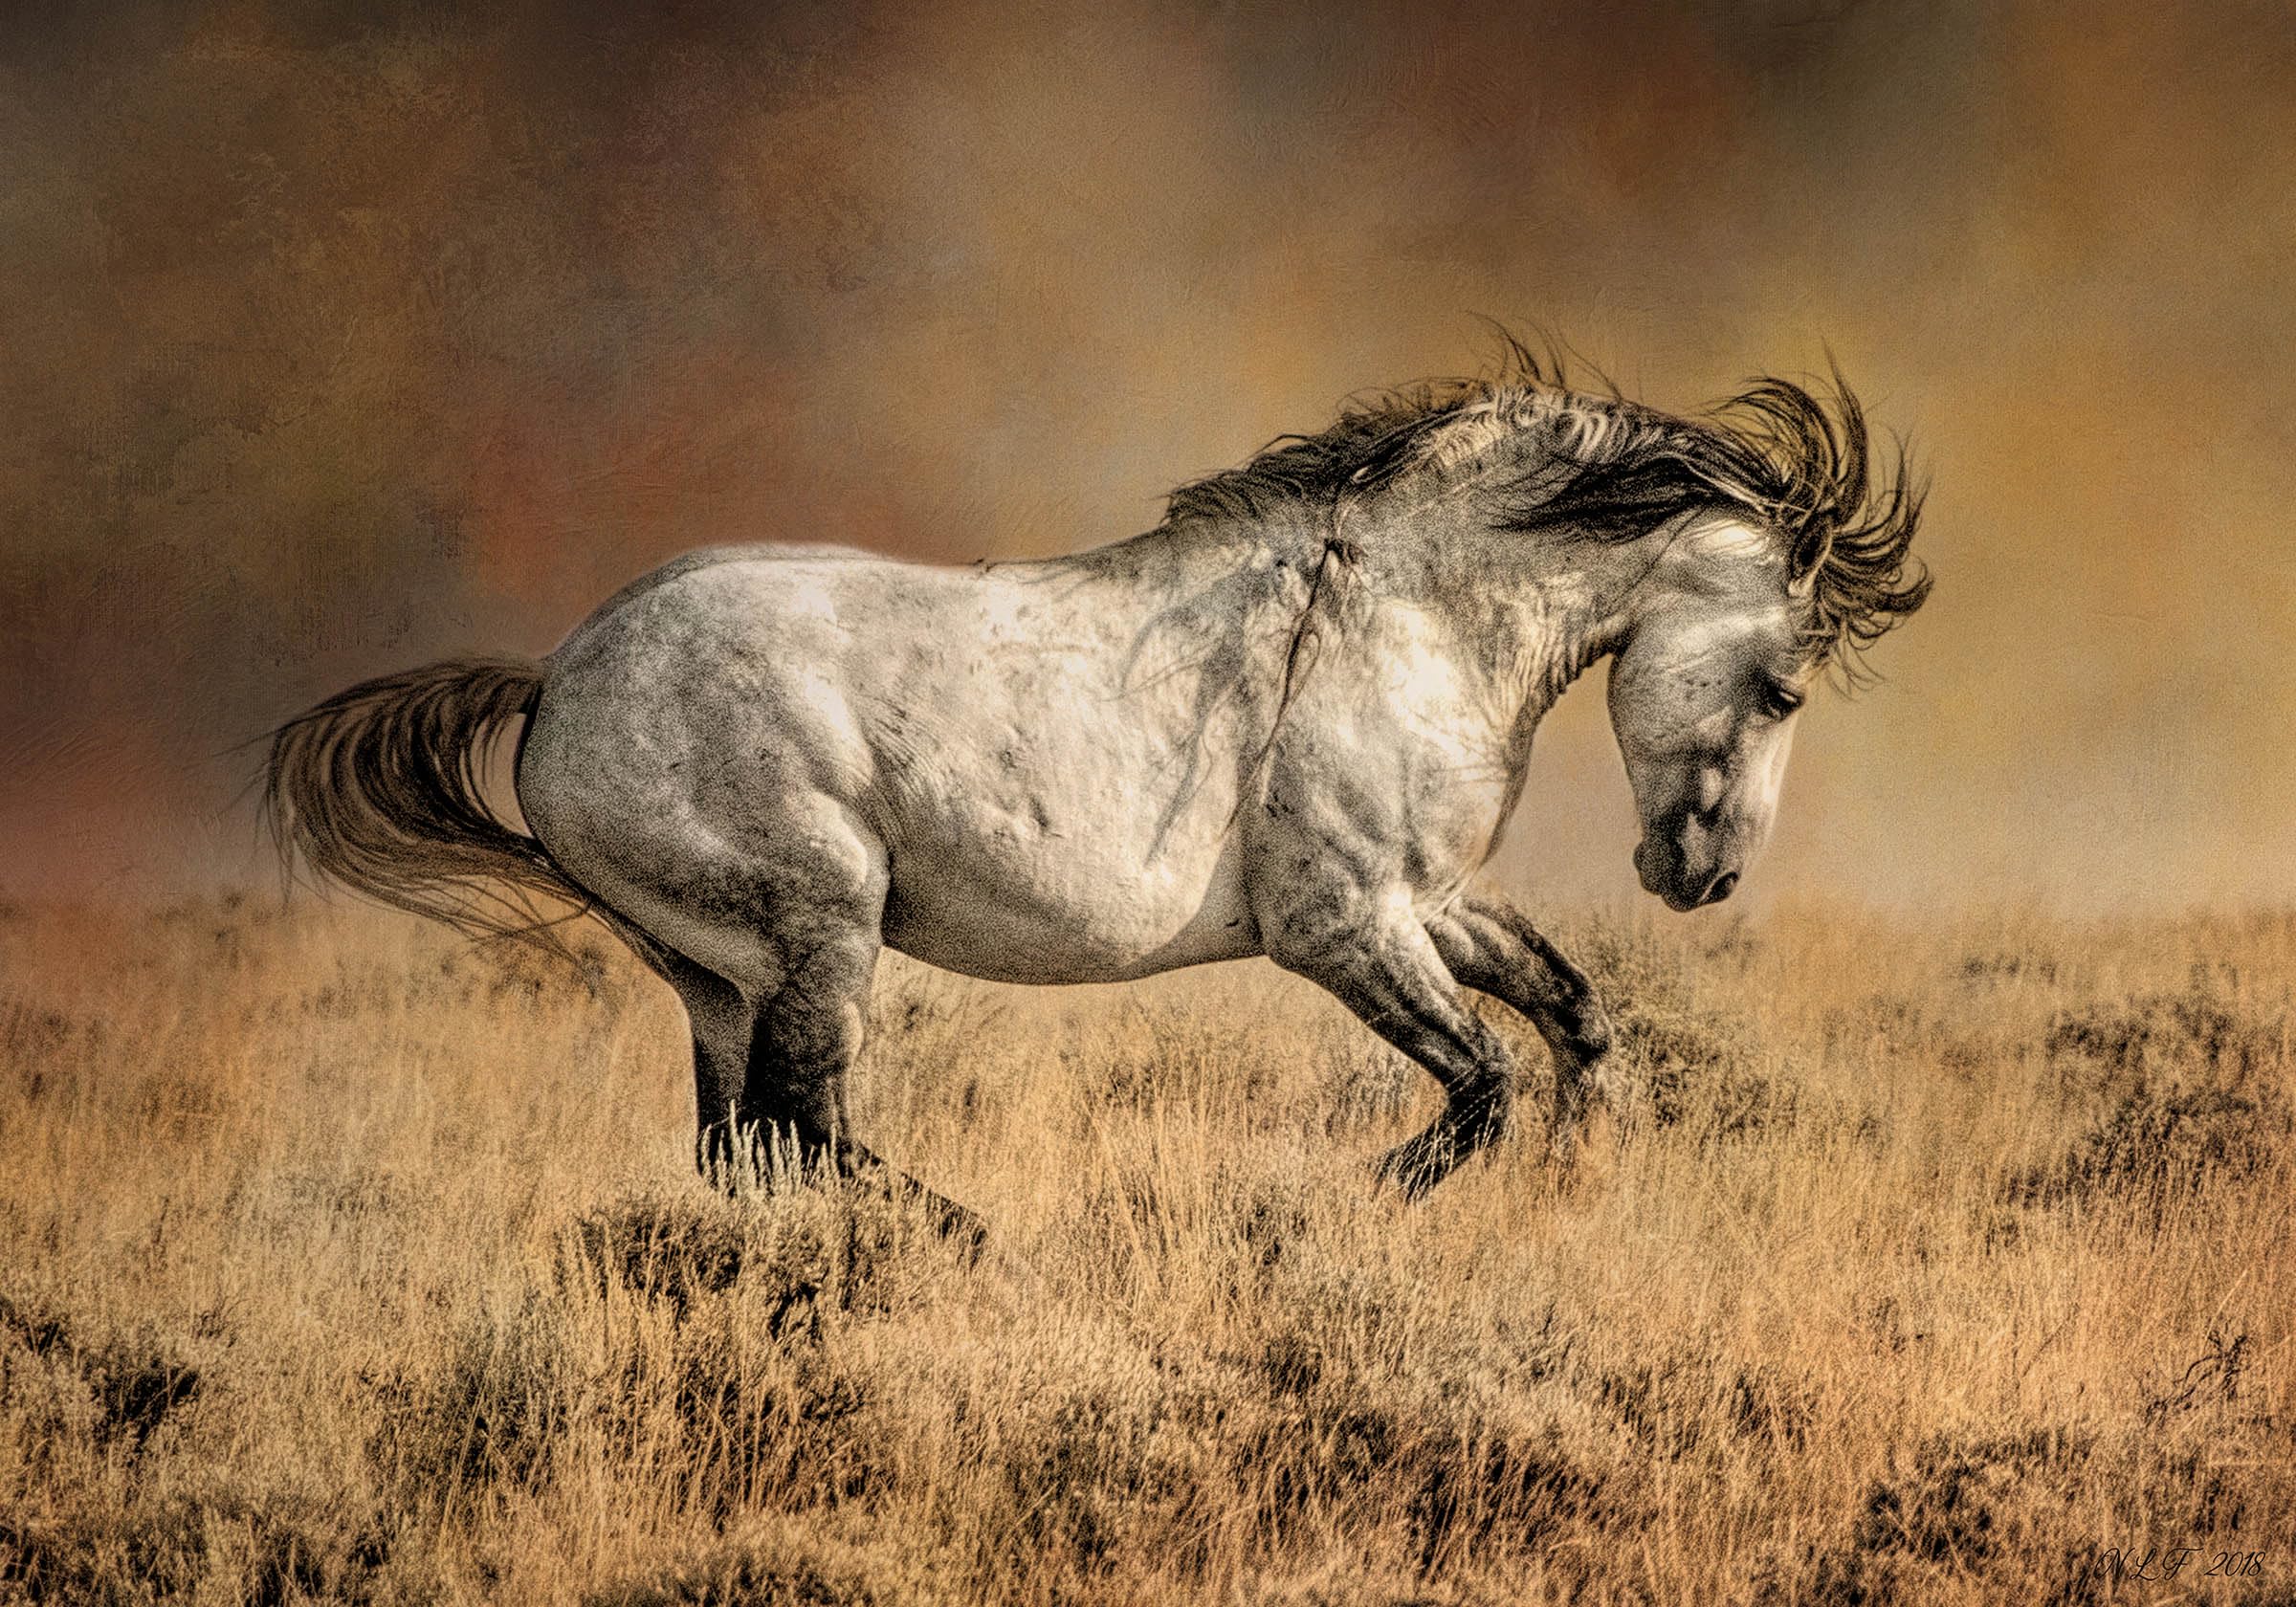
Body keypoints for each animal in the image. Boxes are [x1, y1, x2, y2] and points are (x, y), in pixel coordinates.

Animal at [265, 341, 1927, 1227]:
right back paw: (973, 1235)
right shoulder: (1342, 927)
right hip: (819, 929)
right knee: (804, 1124)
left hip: (714, 973)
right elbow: (1478, 1087)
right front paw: (1332, 1206)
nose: (1704, 877)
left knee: (746, 1150)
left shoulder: (1431, 901)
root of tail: (556, 685)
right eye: (1779, 689)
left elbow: (1571, 1024)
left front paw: (1576, 1188)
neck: (1404, 617)